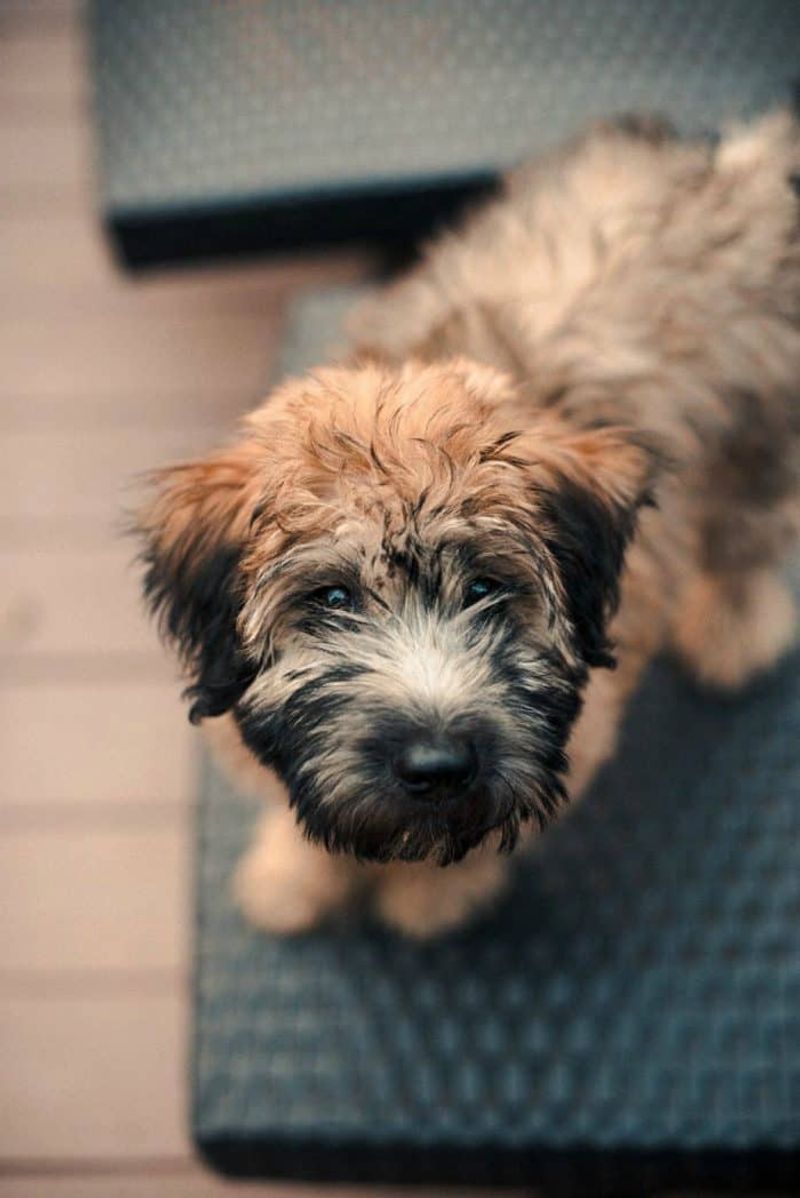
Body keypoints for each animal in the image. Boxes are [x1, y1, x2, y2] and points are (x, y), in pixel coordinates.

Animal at [138, 110, 800, 937]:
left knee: (748, 533)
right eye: (331, 598)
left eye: (487, 587)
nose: (437, 768)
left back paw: (732, 627)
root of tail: (732, 165)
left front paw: (431, 898)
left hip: (756, 427)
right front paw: (293, 875)